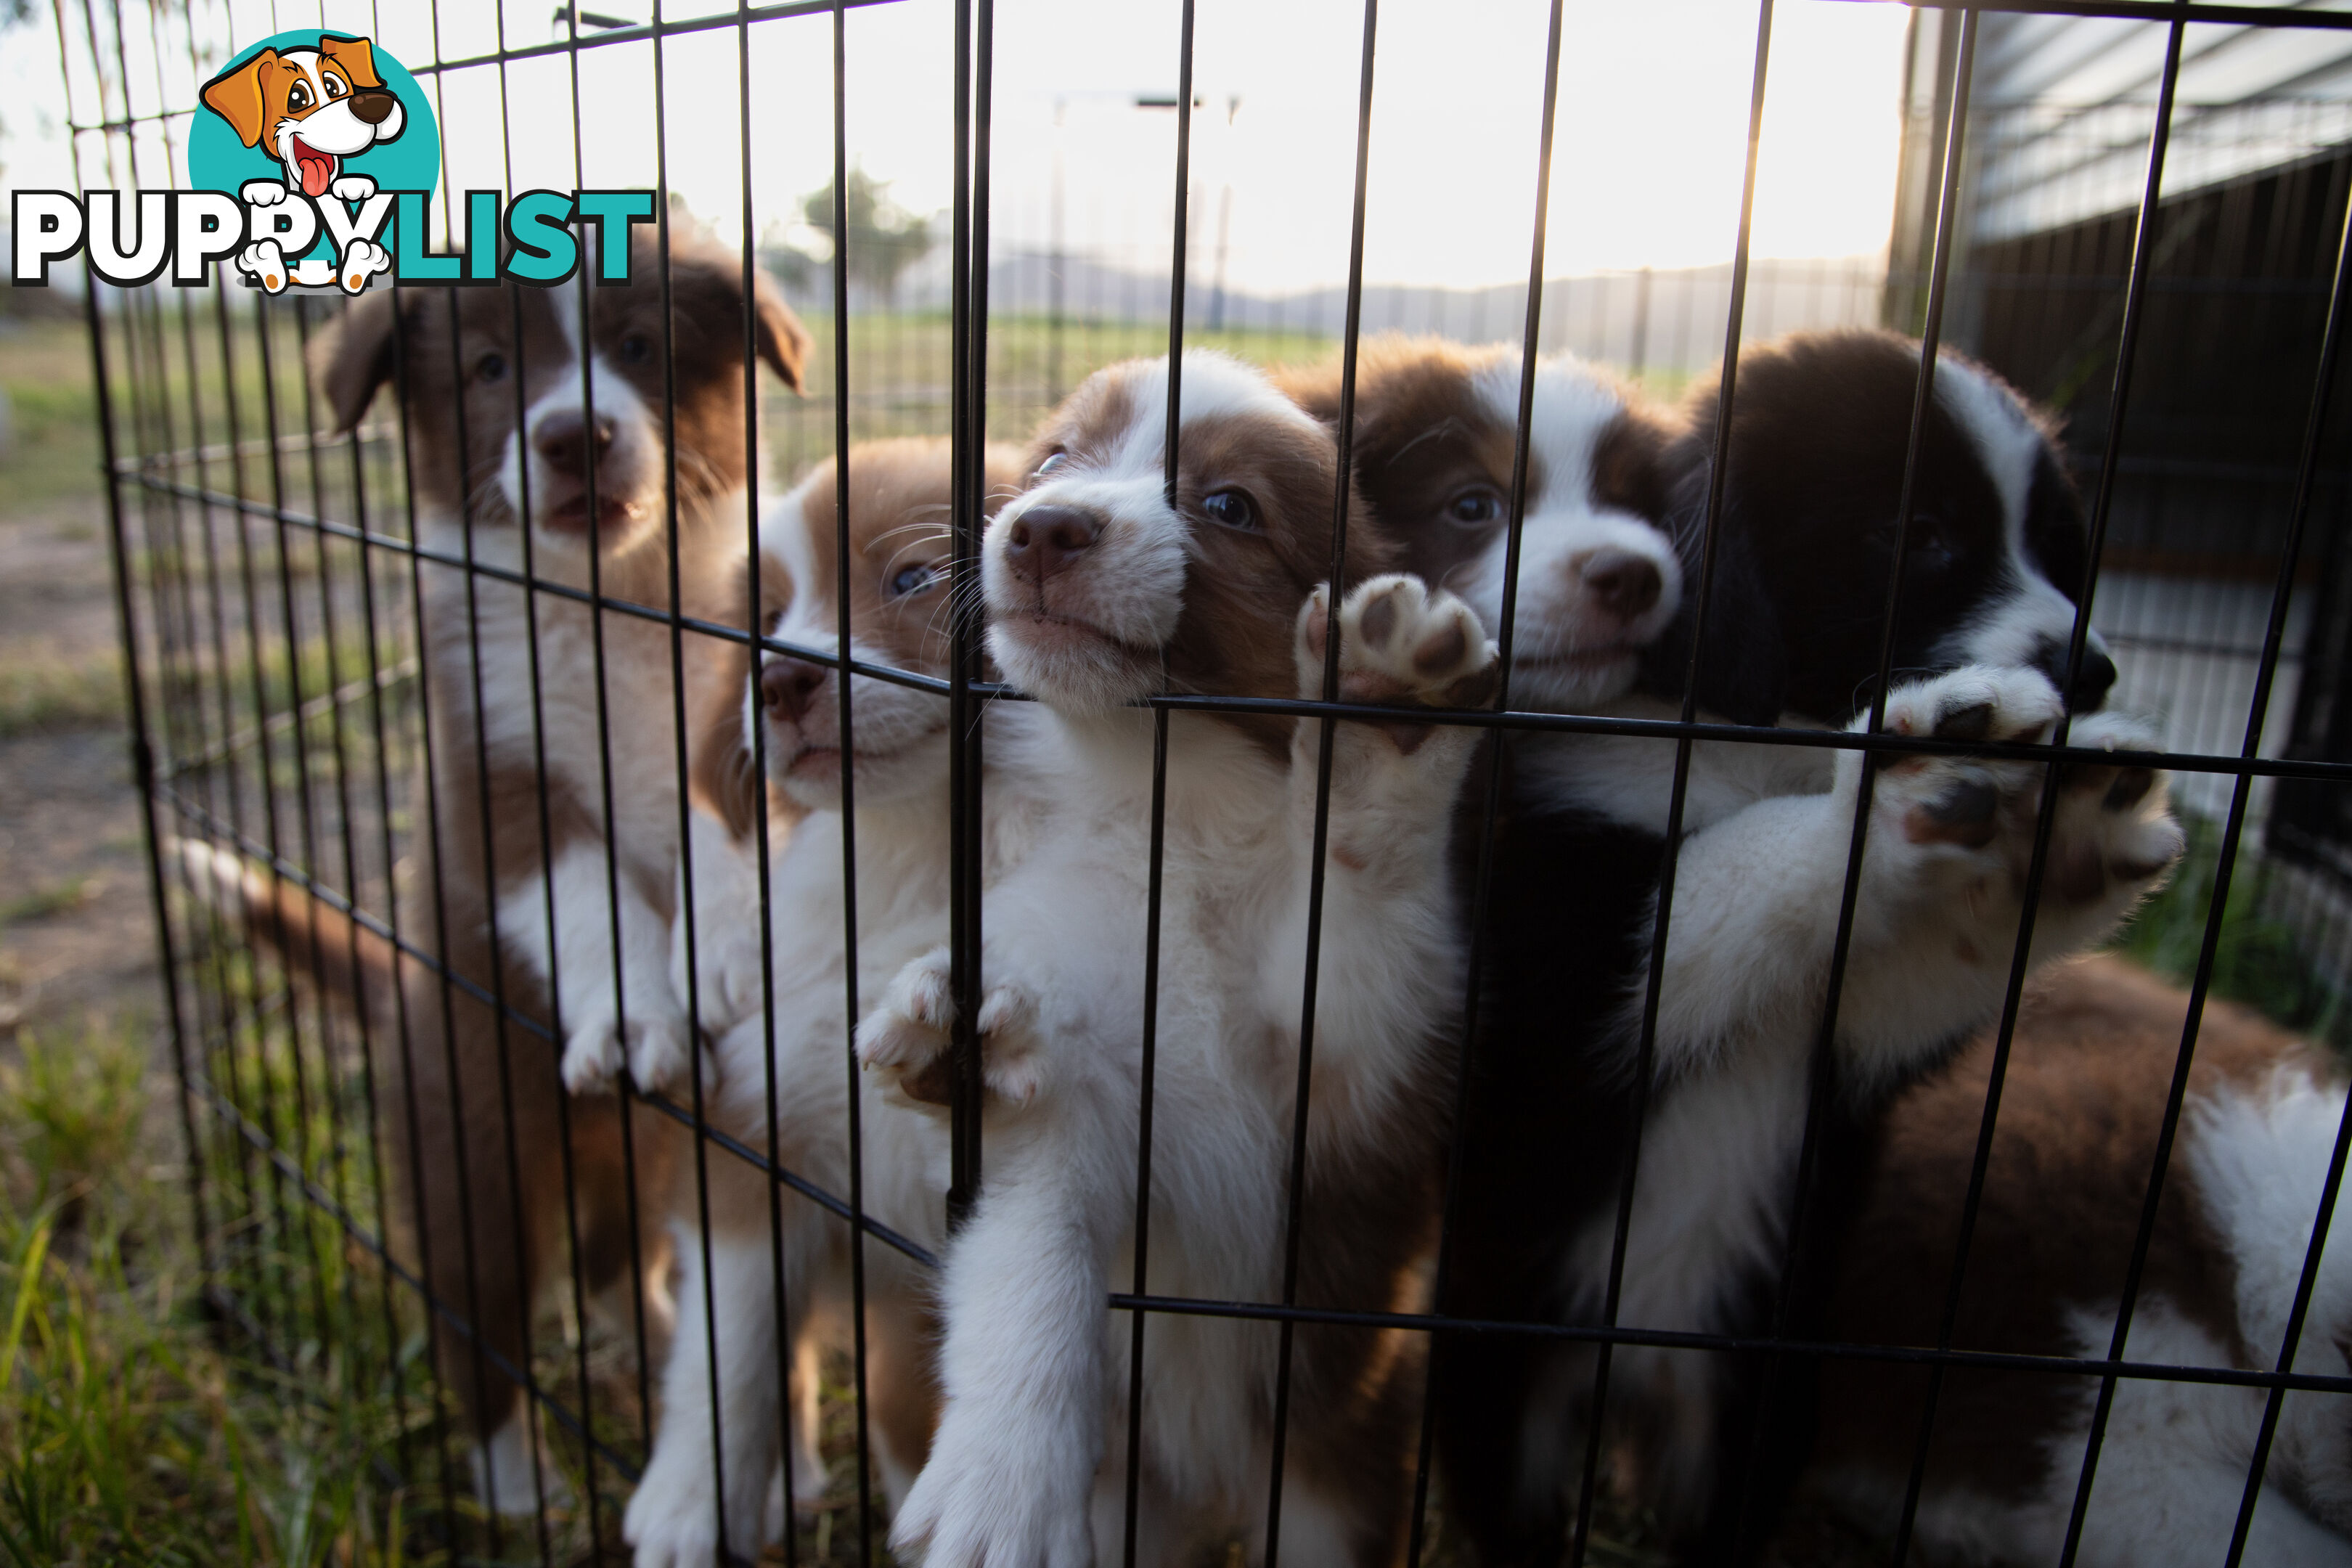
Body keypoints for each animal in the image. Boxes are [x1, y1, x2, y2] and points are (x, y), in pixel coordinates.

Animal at [200, 232, 809, 1523]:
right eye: (487, 369)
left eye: (637, 344)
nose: (575, 434)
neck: (611, 605)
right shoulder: (489, 778)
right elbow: (579, 892)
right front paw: (632, 1012)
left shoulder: (749, 718)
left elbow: (718, 829)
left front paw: (733, 949)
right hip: (467, 1171)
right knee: (479, 1340)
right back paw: (521, 1488)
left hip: (650, 1167)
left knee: (615, 1265)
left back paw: (669, 1352)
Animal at [625, 432, 1030, 1568]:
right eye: (763, 615)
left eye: (913, 580)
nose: (778, 680)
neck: (907, 855)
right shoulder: (755, 1133)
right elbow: (729, 1355)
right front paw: (688, 1501)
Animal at [856, 354, 1495, 1568]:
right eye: (1054, 460)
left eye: (1230, 507)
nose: (1046, 528)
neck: (1176, 815)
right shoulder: (1074, 1087)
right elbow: (1030, 1254)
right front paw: (1002, 1490)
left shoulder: (1354, 1089)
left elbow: (1369, 904)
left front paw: (1385, 712)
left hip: (1336, 1470)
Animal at [1298, 329, 2173, 1561]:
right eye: (1920, 535)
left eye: (2052, 543)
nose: (2089, 671)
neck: (1776, 740)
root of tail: (1637, 1375)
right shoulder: (1567, 974)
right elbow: (1733, 872)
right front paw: (1901, 780)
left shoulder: (1854, 1027)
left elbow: (1925, 948)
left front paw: (2073, 824)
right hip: (1499, 1371)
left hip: (1757, 1408)